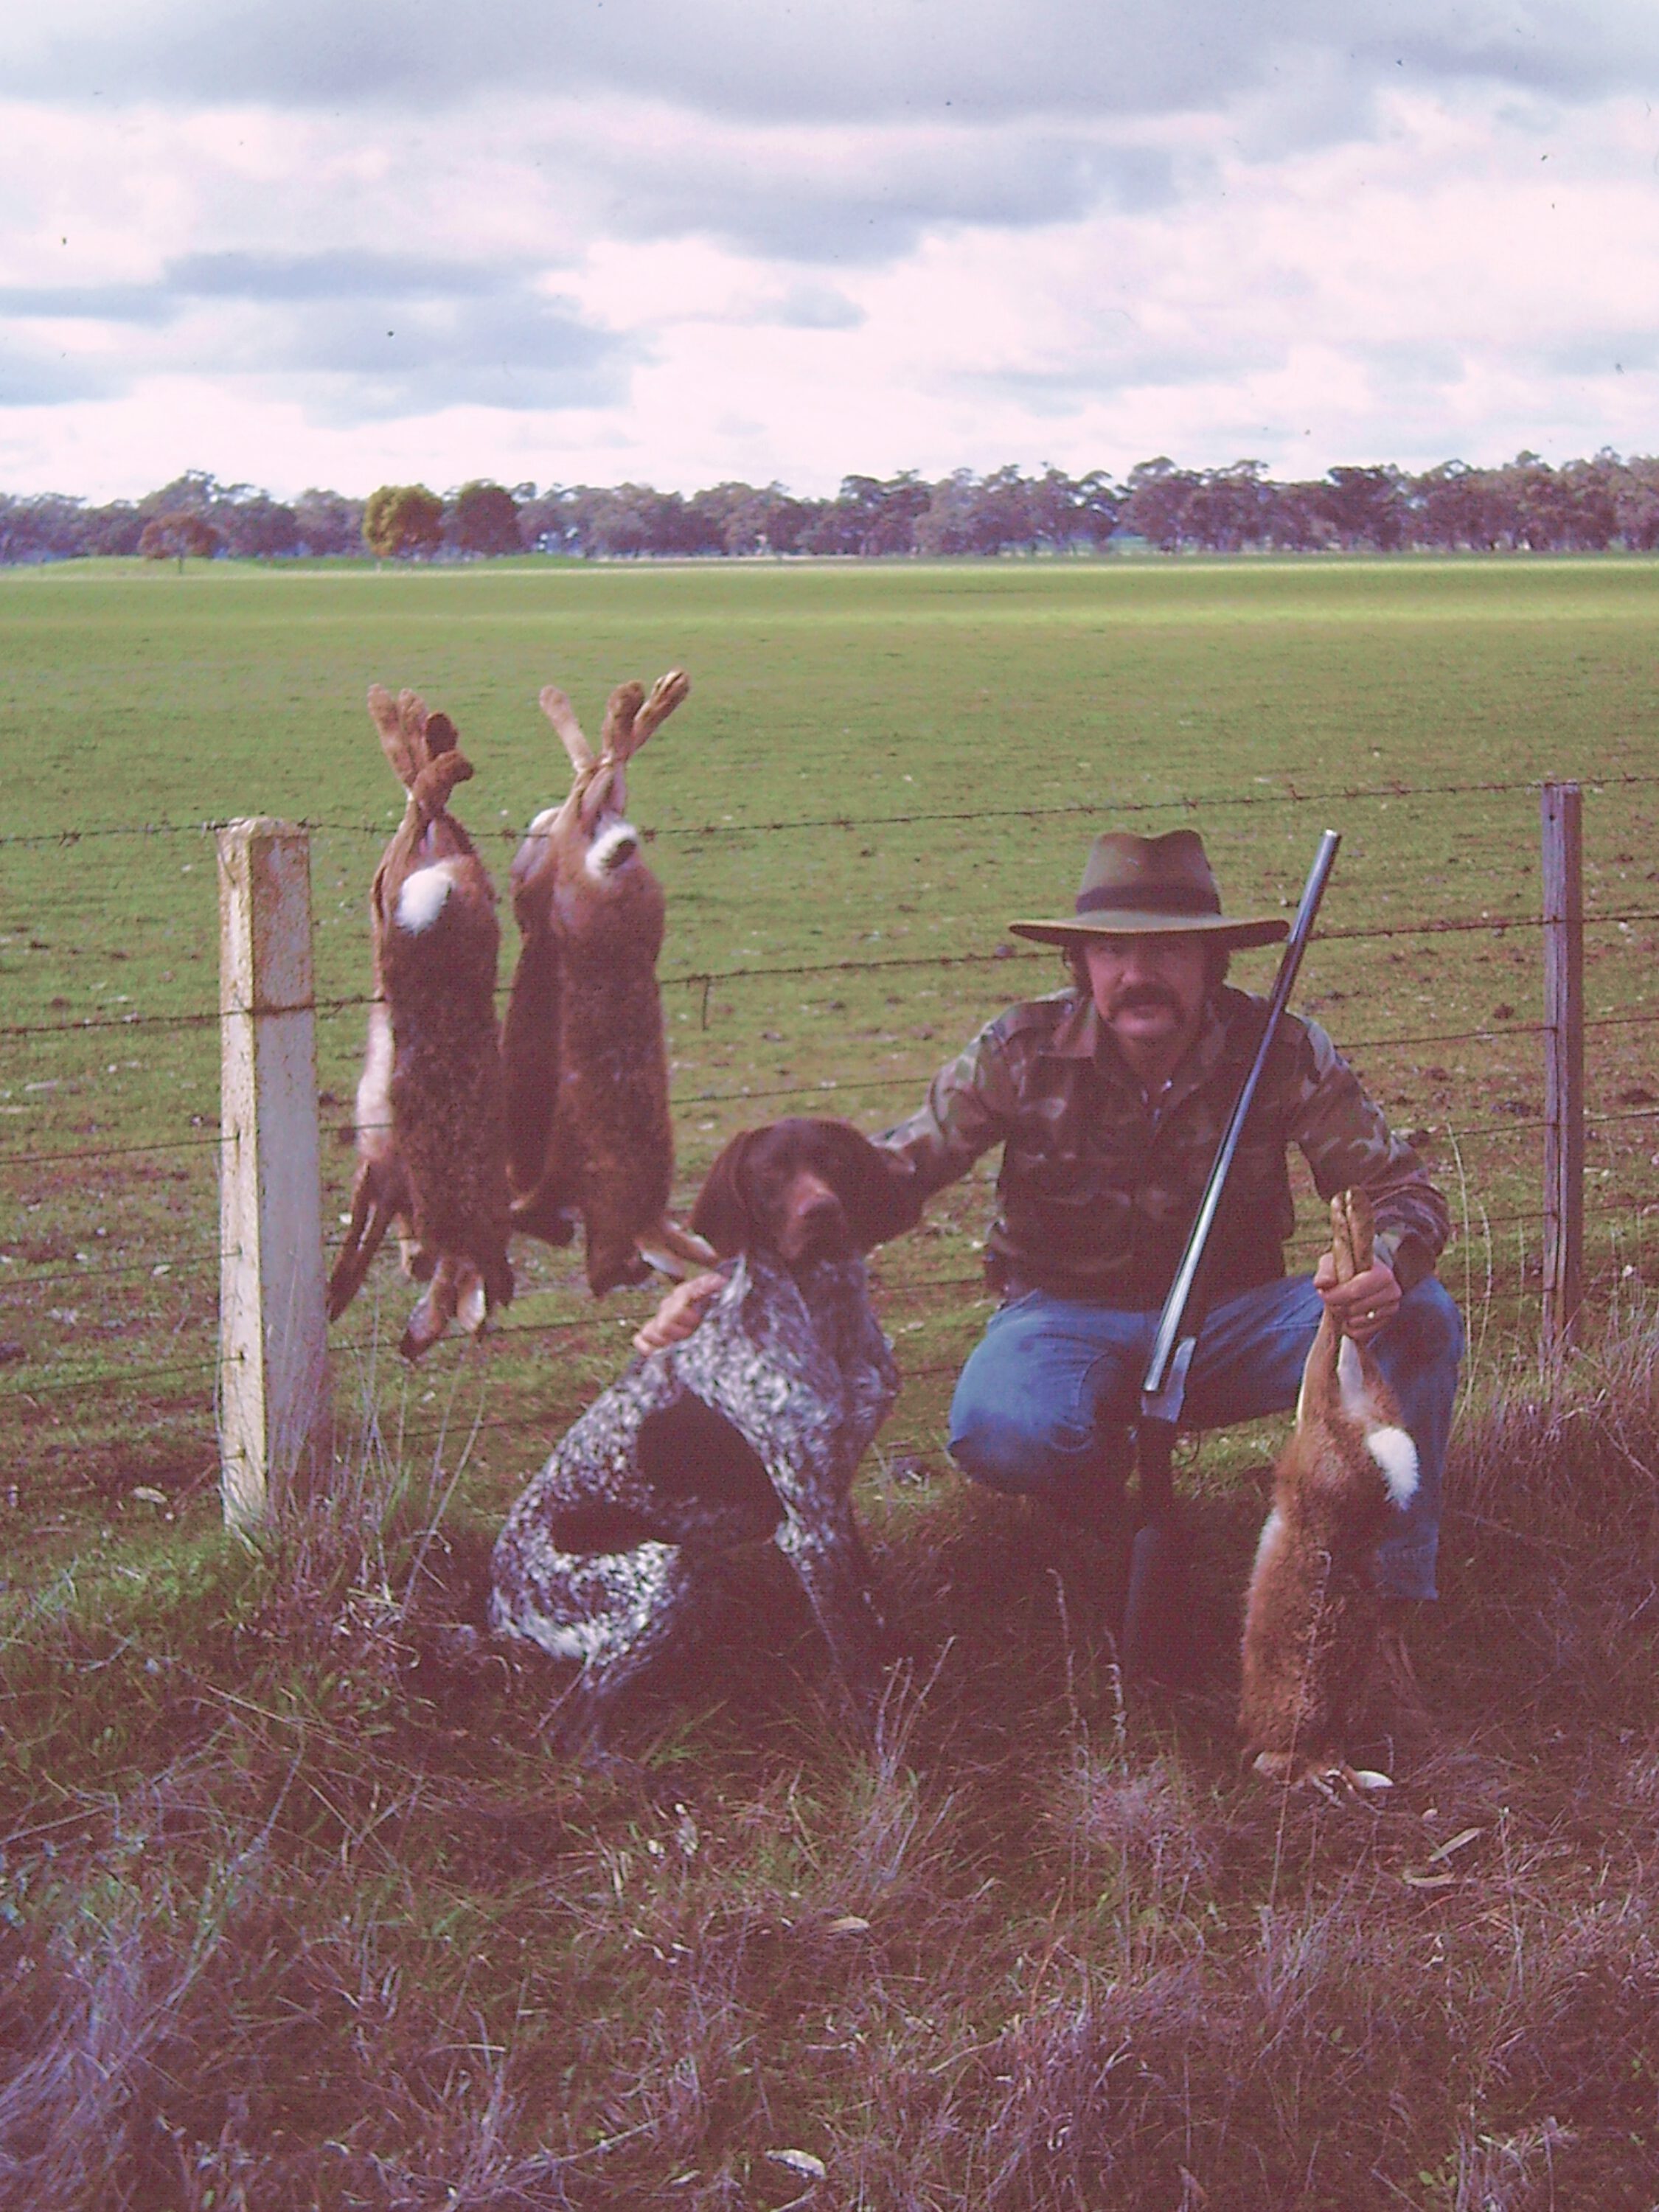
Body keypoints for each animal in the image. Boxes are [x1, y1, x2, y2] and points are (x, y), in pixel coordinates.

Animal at [1239, 1186, 1425, 1787]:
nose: (1332, 1778)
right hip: (1352, 1405)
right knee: (1349, 1333)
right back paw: (1353, 1217)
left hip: (1322, 1422)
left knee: (1334, 1337)